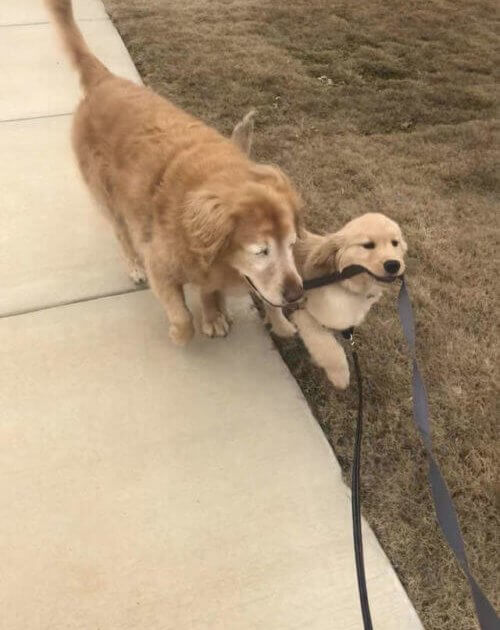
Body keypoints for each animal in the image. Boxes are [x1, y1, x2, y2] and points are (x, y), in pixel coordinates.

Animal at [45, 0, 302, 346]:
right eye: (261, 251)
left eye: (292, 244)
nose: (296, 295)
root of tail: (105, 80)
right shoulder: (161, 264)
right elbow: (182, 314)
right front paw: (183, 331)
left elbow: (211, 292)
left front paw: (220, 315)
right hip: (108, 198)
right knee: (121, 233)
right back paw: (133, 266)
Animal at [232, 114, 408, 390]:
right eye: (367, 245)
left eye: (395, 243)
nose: (393, 265)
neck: (343, 281)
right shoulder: (306, 315)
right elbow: (331, 350)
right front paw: (340, 376)